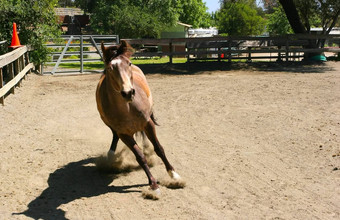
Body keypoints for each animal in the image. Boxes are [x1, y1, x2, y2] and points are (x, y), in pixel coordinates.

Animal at [95, 40, 181, 192]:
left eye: (128, 63)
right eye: (110, 68)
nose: (128, 92)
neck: (127, 108)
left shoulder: (148, 123)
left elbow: (159, 149)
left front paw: (173, 174)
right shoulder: (124, 134)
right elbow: (139, 157)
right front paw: (153, 184)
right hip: (111, 126)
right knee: (114, 135)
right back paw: (111, 155)